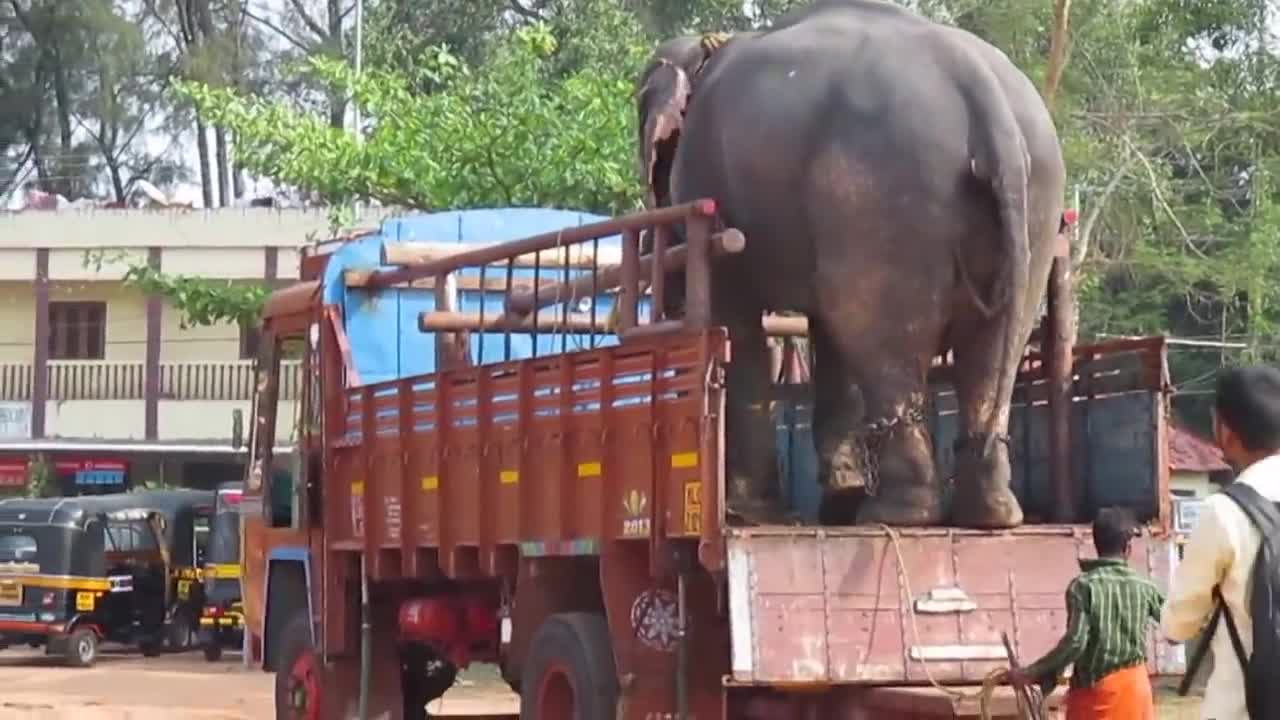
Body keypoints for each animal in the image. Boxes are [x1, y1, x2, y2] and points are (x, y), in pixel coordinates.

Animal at [634, 0, 1064, 527]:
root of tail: (985, 98)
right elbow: (825, 336)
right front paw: (837, 501)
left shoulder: (711, 188)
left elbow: (741, 321)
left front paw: (754, 514)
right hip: (1034, 206)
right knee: (988, 345)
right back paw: (990, 514)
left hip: (882, 197)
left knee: (874, 332)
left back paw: (893, 515)